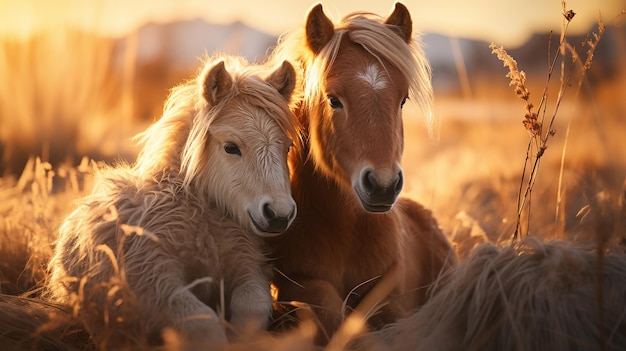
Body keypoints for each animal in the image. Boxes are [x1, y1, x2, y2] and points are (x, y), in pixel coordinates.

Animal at [266, 2, 456, 344]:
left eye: (403, 99)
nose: (382, 185)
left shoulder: (390, 292)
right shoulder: (301, 283)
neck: (348, 234)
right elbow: (330, 312)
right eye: (333, 99)